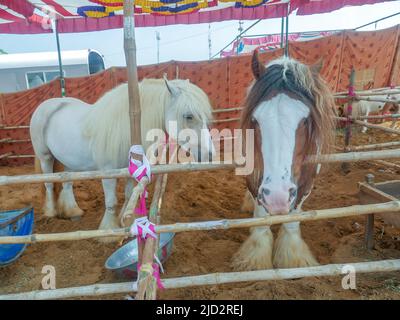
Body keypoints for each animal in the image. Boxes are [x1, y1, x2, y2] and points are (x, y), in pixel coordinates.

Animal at [30, 79, 216, 231]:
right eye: (189, 116)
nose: (210, 155)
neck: (127, 127)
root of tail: (45, 106)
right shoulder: (107, 173)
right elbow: (111, 201)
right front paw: (108, 230)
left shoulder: (129, 170)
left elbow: (128, 195)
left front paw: (125, 221)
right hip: (45, 157)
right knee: (48, 184)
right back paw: (51, 212)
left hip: (69, 162)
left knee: (67, 183)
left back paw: (73, 212)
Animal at [233, 52, 336, 270]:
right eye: (255, 119)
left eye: (305, 120)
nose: (277, 198)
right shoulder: (256, 183)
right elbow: (260, 219)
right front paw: (256, 258)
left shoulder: (306, 184)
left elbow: (292, 219)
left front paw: (292, 258)